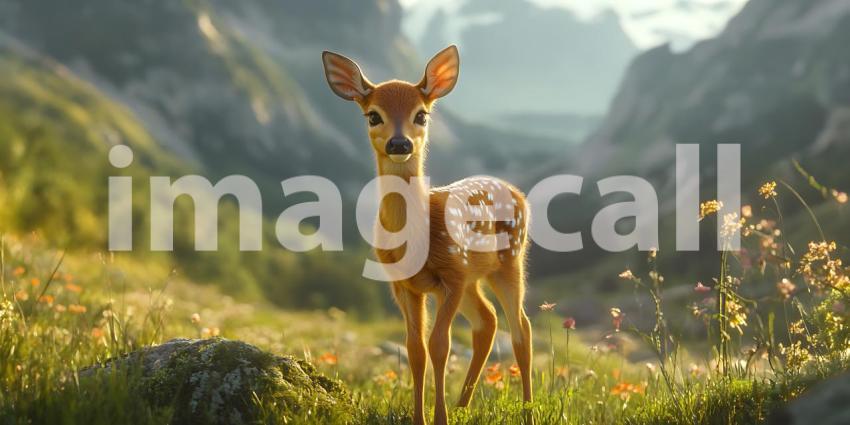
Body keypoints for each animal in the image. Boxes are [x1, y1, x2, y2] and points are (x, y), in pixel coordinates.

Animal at [322, 45, 533, 425]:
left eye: (421, 115)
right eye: (373, 116)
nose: (399, 142)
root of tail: (516, 191)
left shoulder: (452, 274)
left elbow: (440, 345)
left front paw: (439, 418)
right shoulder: (405, 285)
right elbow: (415, 349)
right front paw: (421, 417)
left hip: (509, 260)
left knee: (521, 329)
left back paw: (526, 412)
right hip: (474, 278)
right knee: (488, 321)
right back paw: (464, 407)